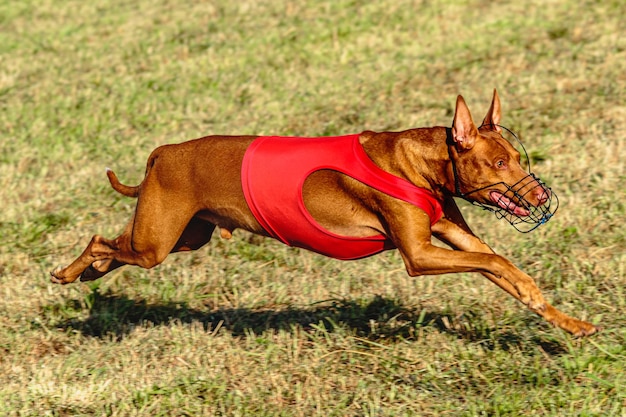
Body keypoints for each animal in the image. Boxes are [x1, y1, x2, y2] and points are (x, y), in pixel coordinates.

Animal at [51, 89, 596, 336]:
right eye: (500, 163)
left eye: (518, 156)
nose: (542, 198)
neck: (419, 163)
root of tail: (162, 152)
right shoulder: (419, 255)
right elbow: (495, 261)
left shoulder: (456, 236)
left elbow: (502, 268)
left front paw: (566, 322)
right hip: (156, 243)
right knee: (100, 242)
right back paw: (69, 272)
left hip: (186, 235)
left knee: (113, 248)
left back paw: (89, 274)